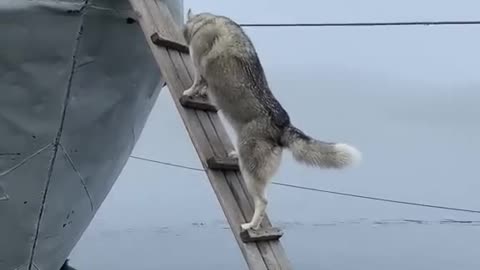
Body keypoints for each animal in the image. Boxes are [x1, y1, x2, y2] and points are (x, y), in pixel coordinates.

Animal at [183, 10, 360, 230]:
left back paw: (251, 225)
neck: (206, 20)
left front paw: (189, 91)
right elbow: (203, 86)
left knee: (263, 201)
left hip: (250, 173)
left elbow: (196, 82)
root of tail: (283, 125)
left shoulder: (199, 66)